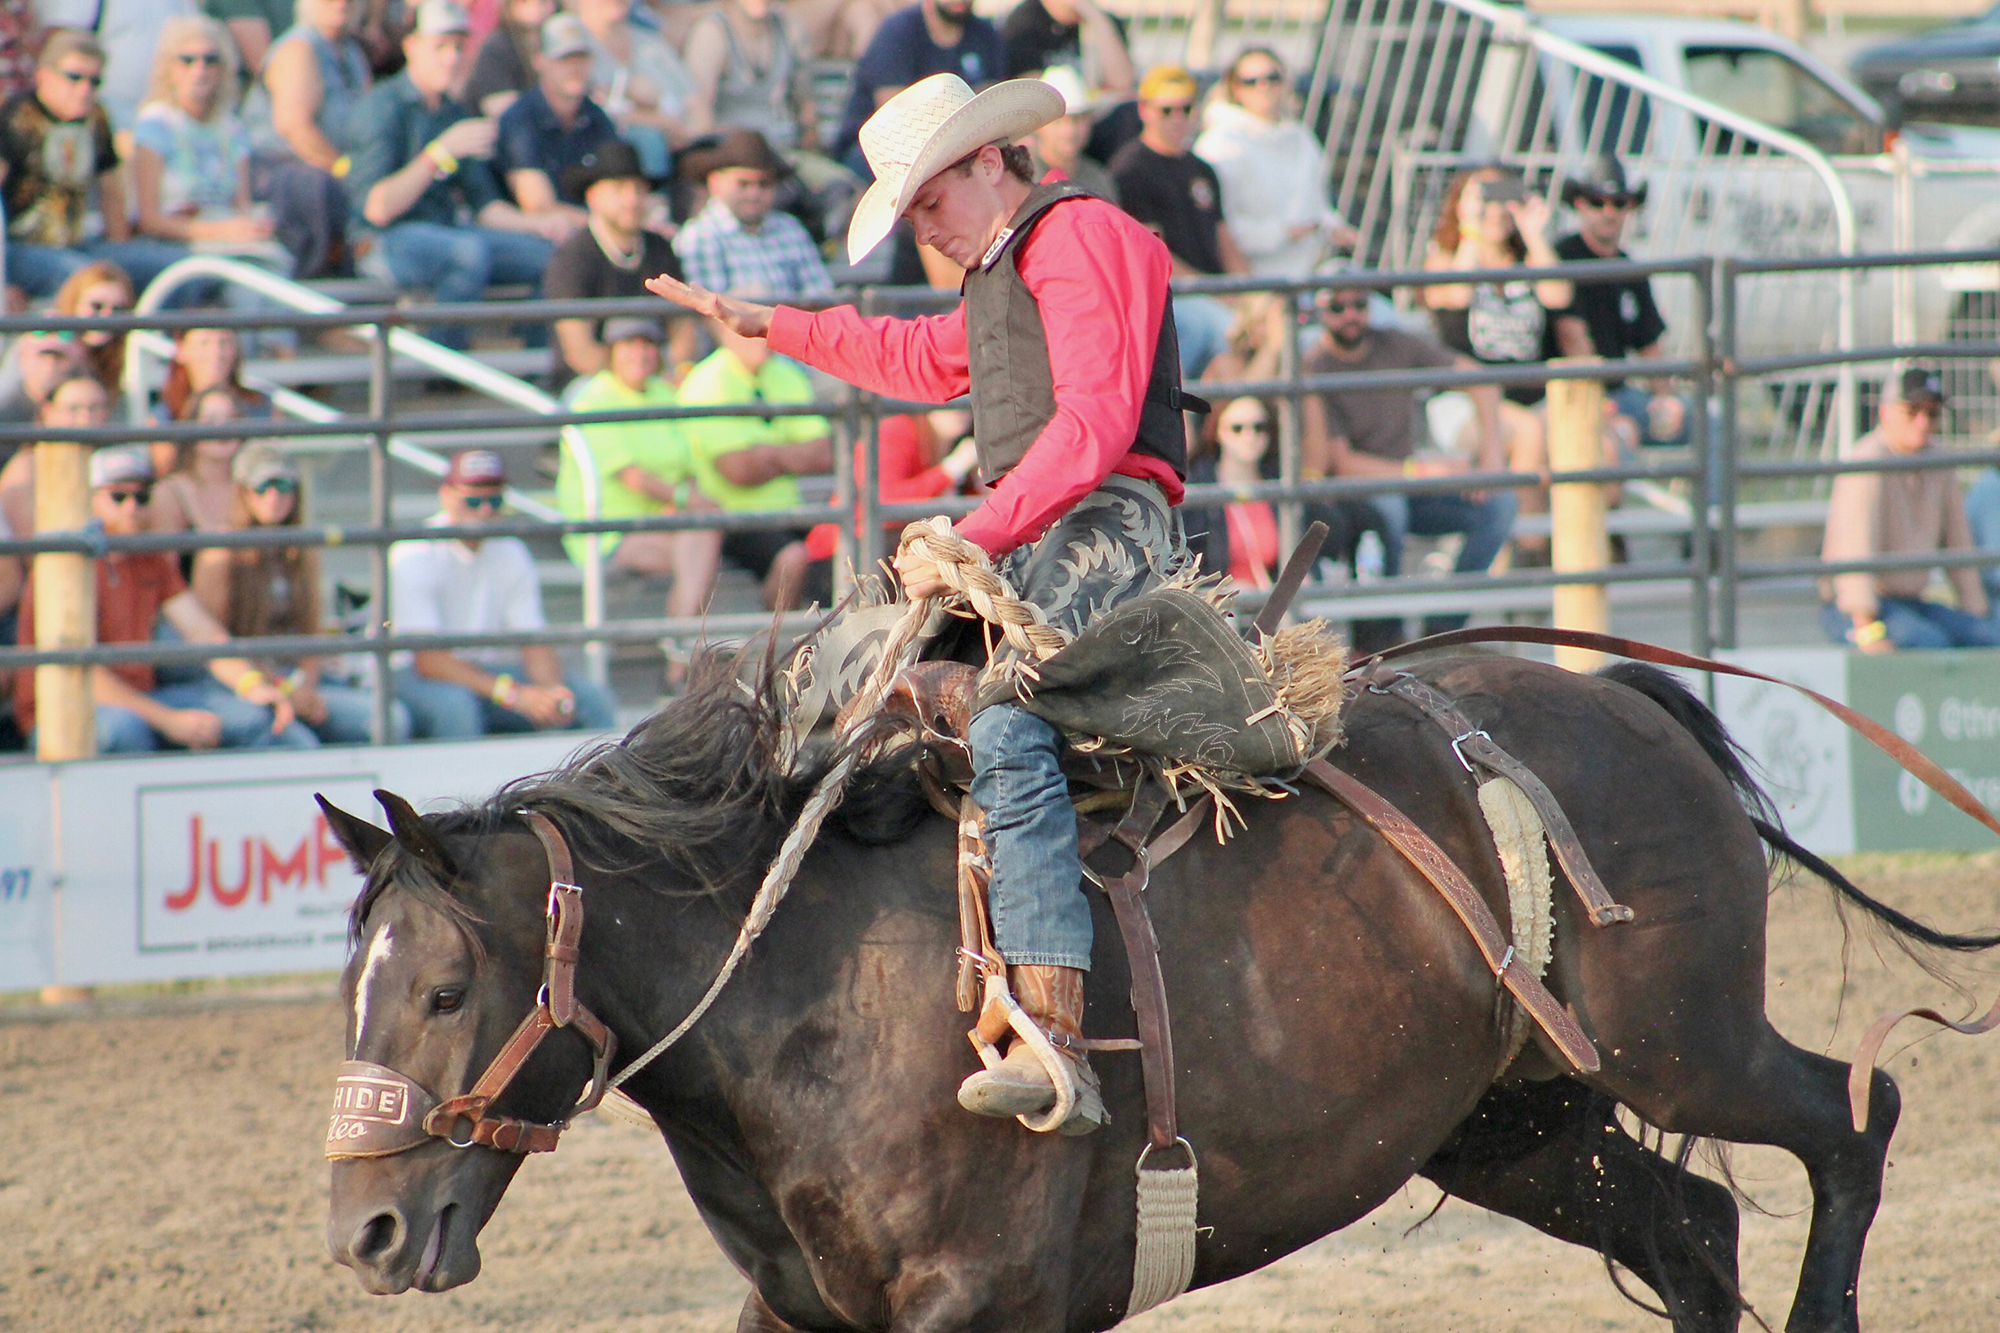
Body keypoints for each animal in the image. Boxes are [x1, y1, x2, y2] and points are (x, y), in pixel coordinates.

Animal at [316, 640, 2000, 1320]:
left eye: (448, 991)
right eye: (359, 989)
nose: (368, 1230)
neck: (812, 988)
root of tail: (1627, 701)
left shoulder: (979, 1299)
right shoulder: (805, 1311)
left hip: (1684, 1042)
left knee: (1857, 1116)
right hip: (1512, 1120)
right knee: (1693, 1226)